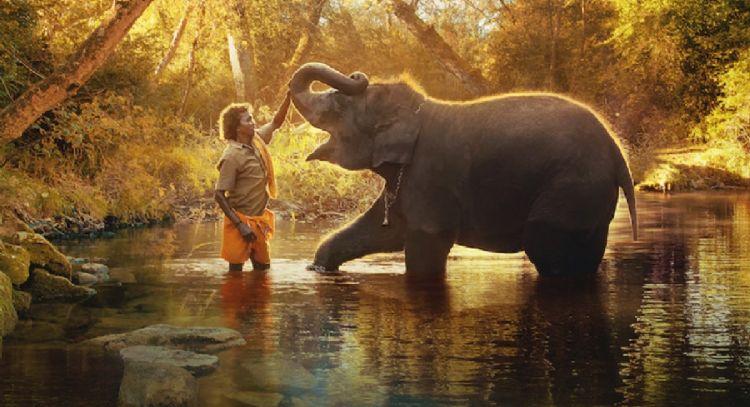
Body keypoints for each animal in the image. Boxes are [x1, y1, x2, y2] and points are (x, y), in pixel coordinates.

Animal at [289, 62, 637, 276]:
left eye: (339, 106)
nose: (357, 74)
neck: (419, 109)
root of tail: (617, 153)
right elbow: (384, 230)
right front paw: (319, 267)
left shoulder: (430, 176)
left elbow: (425, 244)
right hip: (590, 197)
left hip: (572, 187)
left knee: (547, 247)